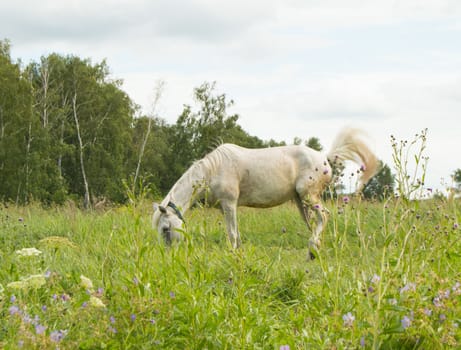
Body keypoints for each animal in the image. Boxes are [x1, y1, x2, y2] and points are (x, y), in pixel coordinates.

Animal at [153, 128, 376, 258]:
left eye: (165, 229)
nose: (167, 255)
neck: (212, 171)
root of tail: (325, 158)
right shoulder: (225, 208)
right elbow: (236, 234)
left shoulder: (229, 204)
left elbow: (232, 233)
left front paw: (232, 255)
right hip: (301, 203)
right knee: (314, 223)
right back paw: (313, 251)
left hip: (309, 197)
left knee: (324, 217)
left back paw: (313, 249)